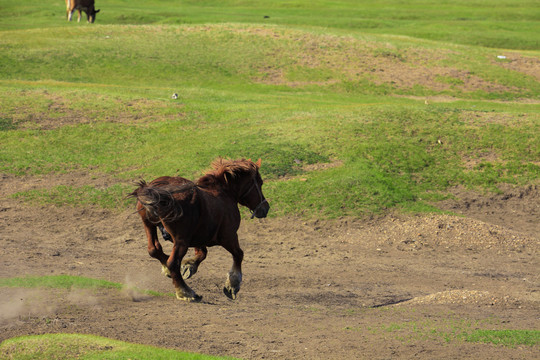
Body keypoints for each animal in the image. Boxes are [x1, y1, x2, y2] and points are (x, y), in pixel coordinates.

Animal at [131, 158, 270, 300]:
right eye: (260, 183)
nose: (266, 208)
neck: (225, 194)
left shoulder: (199, 236)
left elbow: (202, 253)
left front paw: (189, 266)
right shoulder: (228, 236)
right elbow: (238, 254)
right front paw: (233, 285)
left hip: (149, 226)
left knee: (154, 250)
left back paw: (169, 271)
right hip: (181, 240)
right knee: (172, 262)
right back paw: (185, 291)